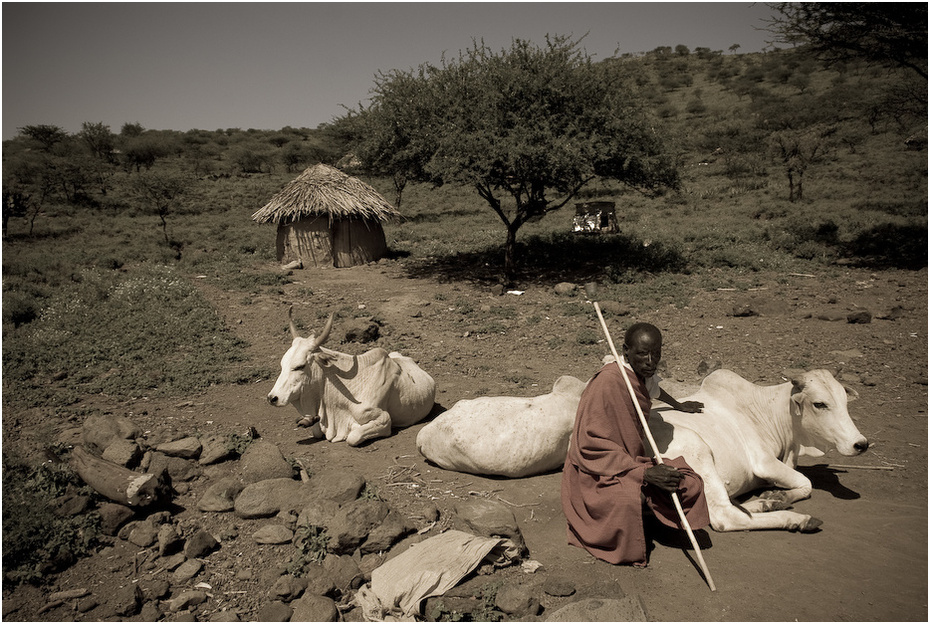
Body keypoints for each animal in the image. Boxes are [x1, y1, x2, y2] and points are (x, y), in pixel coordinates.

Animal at [262, 310, 434, 446]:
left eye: (300, 366)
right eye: (282, 364)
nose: (272, 398)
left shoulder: (384, 419)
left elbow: (353, 436)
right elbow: (317, 430)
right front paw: (310, 421)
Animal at [648, 368, 868, 532]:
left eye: (845, 401)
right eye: (819, 404)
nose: (861, 444)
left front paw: (775, 497)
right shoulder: (764, 463)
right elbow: (807, 482)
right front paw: (781, 496)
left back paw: (766, 504)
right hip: (697, 449)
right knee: (725, 517)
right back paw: (797, 519)